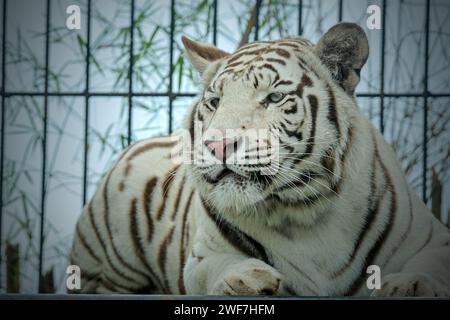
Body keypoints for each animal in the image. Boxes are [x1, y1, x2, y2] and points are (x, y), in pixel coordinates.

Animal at [71, 23, 450, 298]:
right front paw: (246, 279)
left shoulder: (434, 236)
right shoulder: (200, 257)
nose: (218, 144)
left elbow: (431, 265)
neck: (304, 210)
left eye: (274, 97)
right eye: (215, 102)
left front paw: (409, 285)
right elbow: (215, 267)